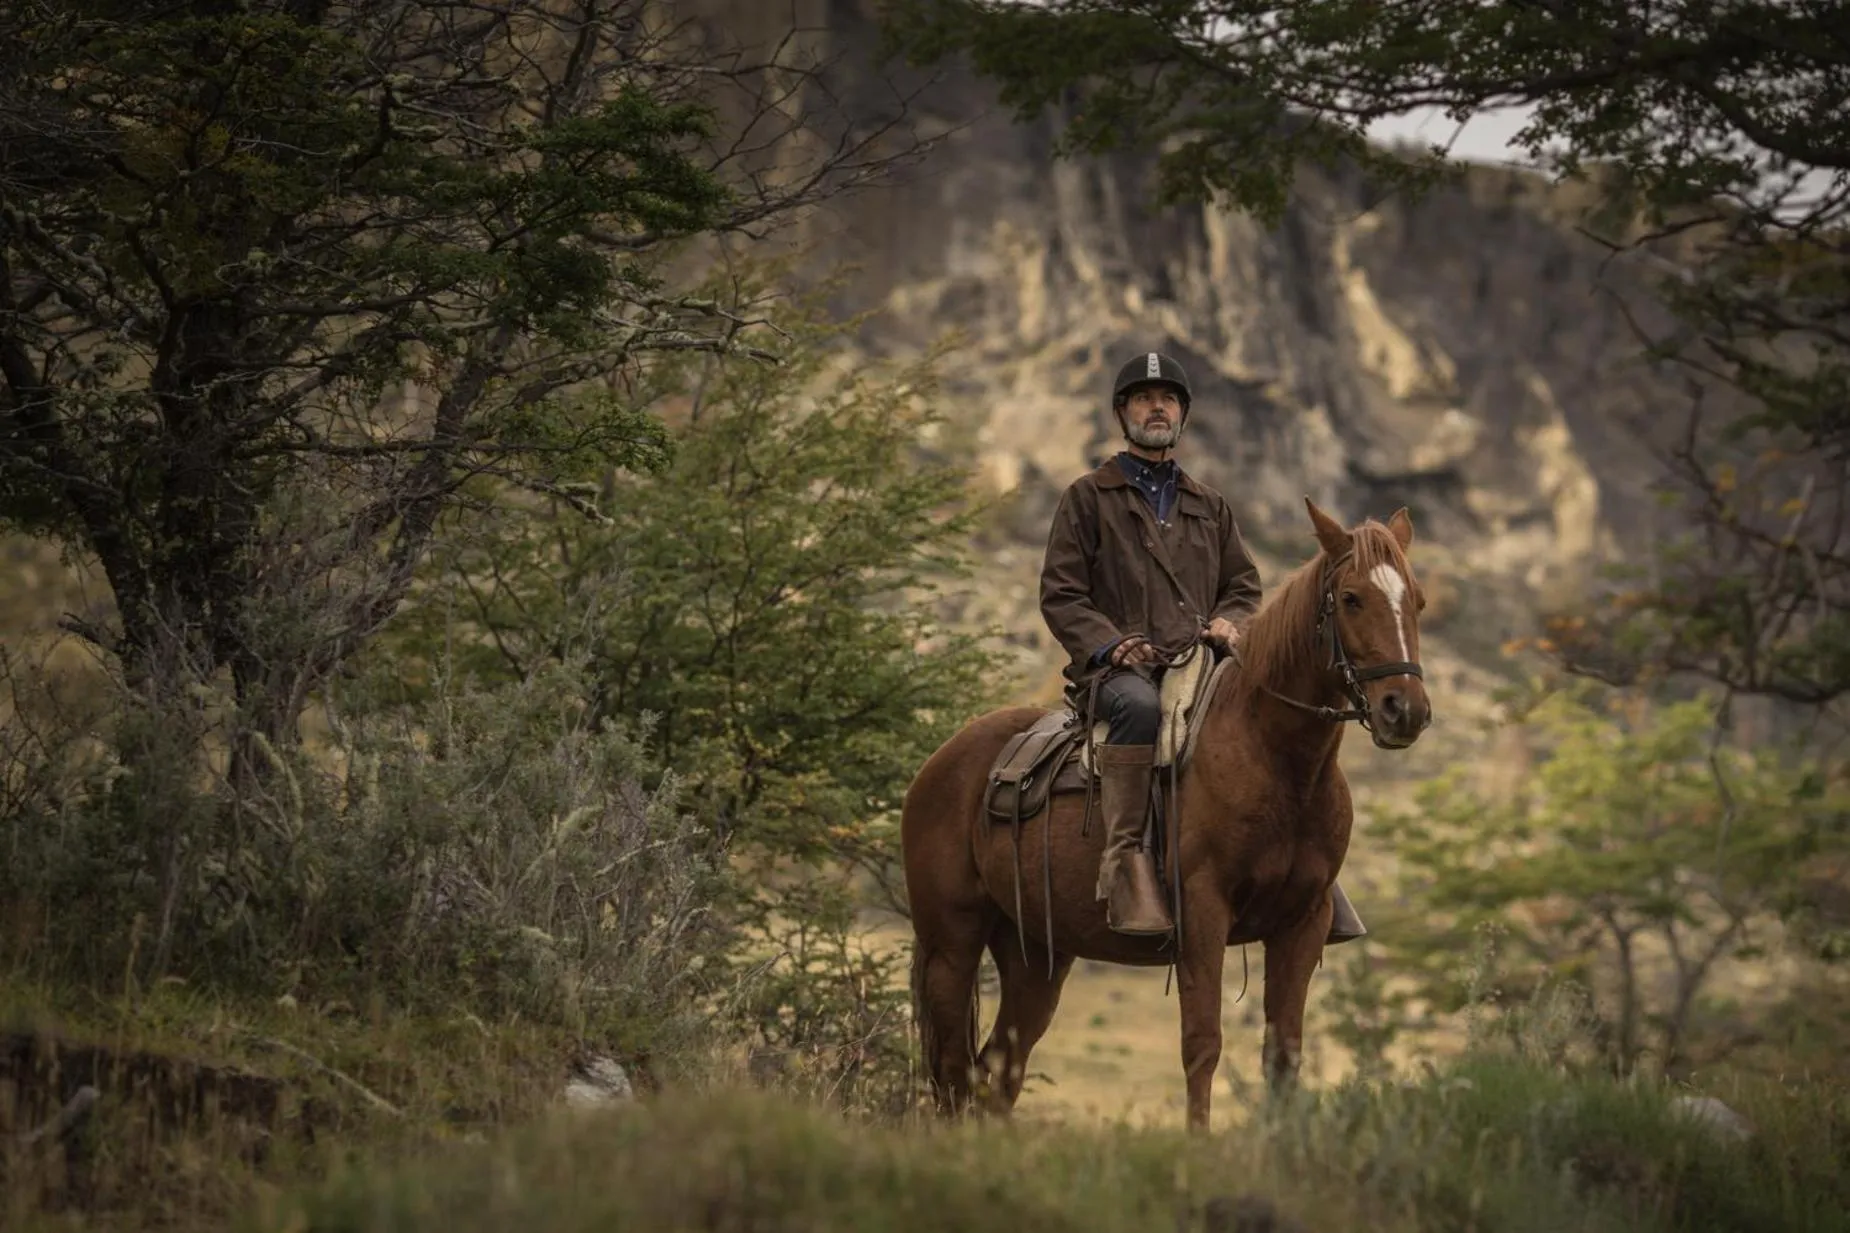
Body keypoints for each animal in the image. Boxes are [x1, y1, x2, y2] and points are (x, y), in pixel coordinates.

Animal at [901, 498, 1433, 1130]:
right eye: (1351, 598)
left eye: (1417, 601)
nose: (1405, 710)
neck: (1272, 760)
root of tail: (940, 762)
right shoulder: (1202, 914)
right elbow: (1202, 1044)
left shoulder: (1303, 920)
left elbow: (1283, 1053)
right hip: (951, 945)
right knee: (953, 1074)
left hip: (1036, 957)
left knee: (996, 1073)